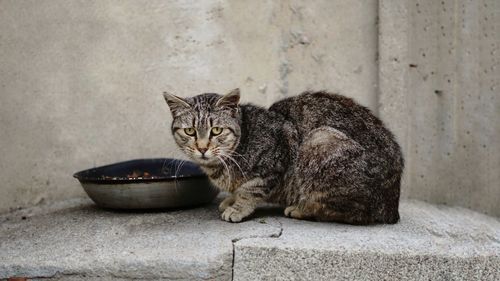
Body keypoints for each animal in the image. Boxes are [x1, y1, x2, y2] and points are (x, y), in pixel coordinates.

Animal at [162, 87, 404, 223]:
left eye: (216, 130)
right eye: (190, 131)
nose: (202, 147)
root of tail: (392, 207)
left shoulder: (275, 159)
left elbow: (249, 191)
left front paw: (237, 208)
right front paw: (230, 199)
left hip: (320, 140)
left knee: (353, 214)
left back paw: (301, 209)